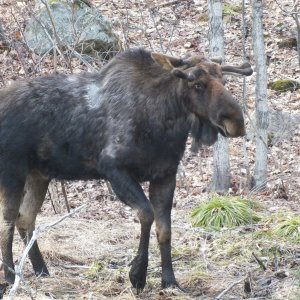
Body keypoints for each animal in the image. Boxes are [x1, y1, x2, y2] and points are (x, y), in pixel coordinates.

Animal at [0, 48, 253, 290]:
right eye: (197, 84)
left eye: (223, 79)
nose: (236, 122)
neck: (166, 122)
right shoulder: (114, 169)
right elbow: (146, 214)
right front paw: (137, 275)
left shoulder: (165, 174)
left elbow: (165, 229)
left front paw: (170, 281)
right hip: (12, 173)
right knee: (8, 222)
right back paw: (11, 277)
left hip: (39, 175)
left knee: (25, 218)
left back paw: (42, 271)